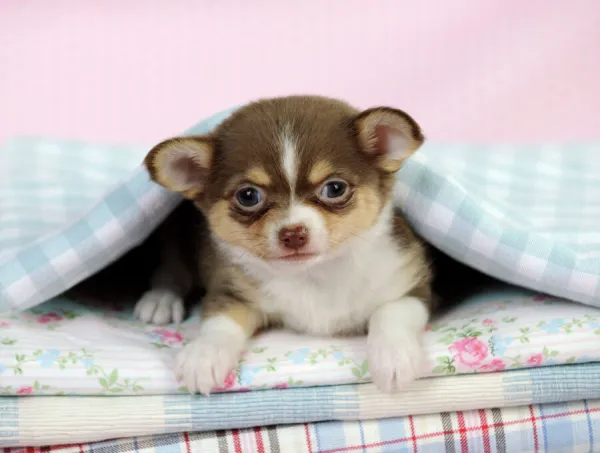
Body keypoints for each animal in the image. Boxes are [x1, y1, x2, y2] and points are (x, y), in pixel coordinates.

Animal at [135, 95, 436, 392]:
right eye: (248, 196)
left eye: (335, 188)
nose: (293, 233)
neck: (315, 276)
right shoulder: (230, 290)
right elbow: (220, 322)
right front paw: (204, 355)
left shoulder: (412, 287)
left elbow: (391, 312)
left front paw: (393, 357)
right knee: (172, 269)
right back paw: (160, 300)